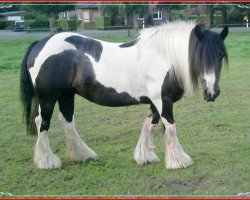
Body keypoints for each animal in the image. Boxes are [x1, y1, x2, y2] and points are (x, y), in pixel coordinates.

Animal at [20, 21, 229, 169]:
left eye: (220, 56)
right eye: (200, 55)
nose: (212, 92)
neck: (163, 57)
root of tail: (40, 44)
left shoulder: (155, 103)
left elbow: (149, 124)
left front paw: (145, 156)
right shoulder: (163, 102)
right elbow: (170, 127)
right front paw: (178, 161)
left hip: (66, 95)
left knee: (68, 121)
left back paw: (83, 155)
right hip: (48, 98)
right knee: (42, 123)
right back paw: (47, 162)